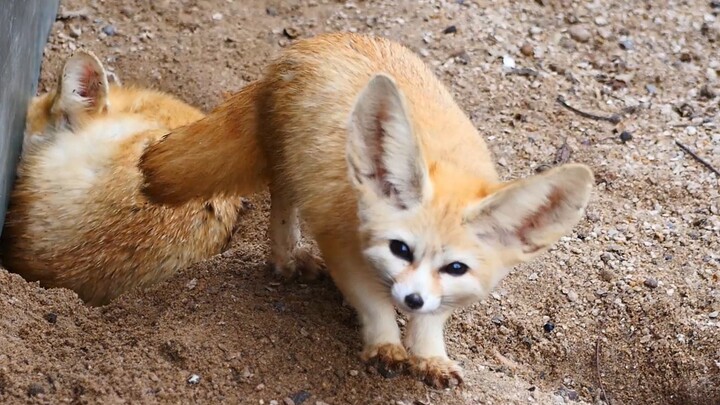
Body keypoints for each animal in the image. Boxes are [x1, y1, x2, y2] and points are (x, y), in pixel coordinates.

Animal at [138, 32, 594, 388]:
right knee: (282, 205)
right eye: (400, 249)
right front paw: (386, 345)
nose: (411, 299)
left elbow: (433, 319)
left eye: (455, 268)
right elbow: (374, 303)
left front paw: (429, 355)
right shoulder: (342, 247)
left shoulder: (449, 291)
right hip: (292, 172)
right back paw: (286, 259)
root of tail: (310, 43)